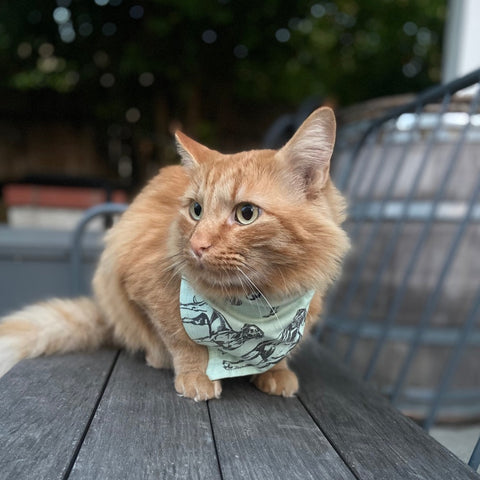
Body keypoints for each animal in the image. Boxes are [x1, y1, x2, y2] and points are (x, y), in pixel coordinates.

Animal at [1, 107, 350, 400]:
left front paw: (276, 371)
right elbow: (182, 339)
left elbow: (282, 351)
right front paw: (196, 375)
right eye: (196, 210)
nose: (197, 245)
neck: (260, 298)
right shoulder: (148, 285)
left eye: (246, 214)